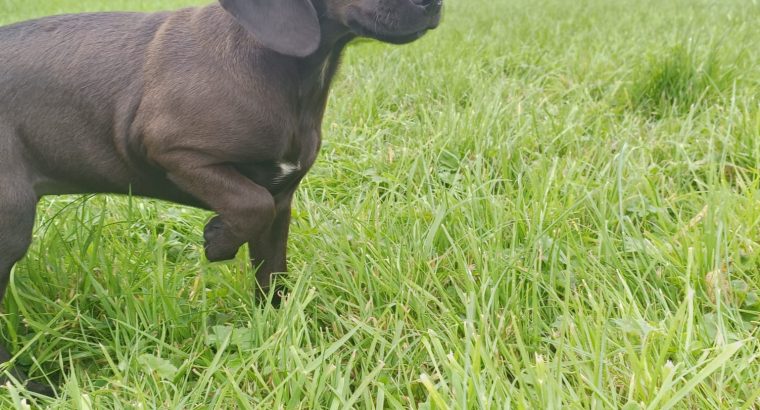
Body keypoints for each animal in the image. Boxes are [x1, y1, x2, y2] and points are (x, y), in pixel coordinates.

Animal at [0, 0, 442, 392]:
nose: (434, 4)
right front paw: (218, 241)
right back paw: (29, 386)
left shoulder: (281, 199)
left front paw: (276, 336)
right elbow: (249, 203)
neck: (287, 69)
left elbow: (272, 273)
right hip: (12, 220)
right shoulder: (172, 150)